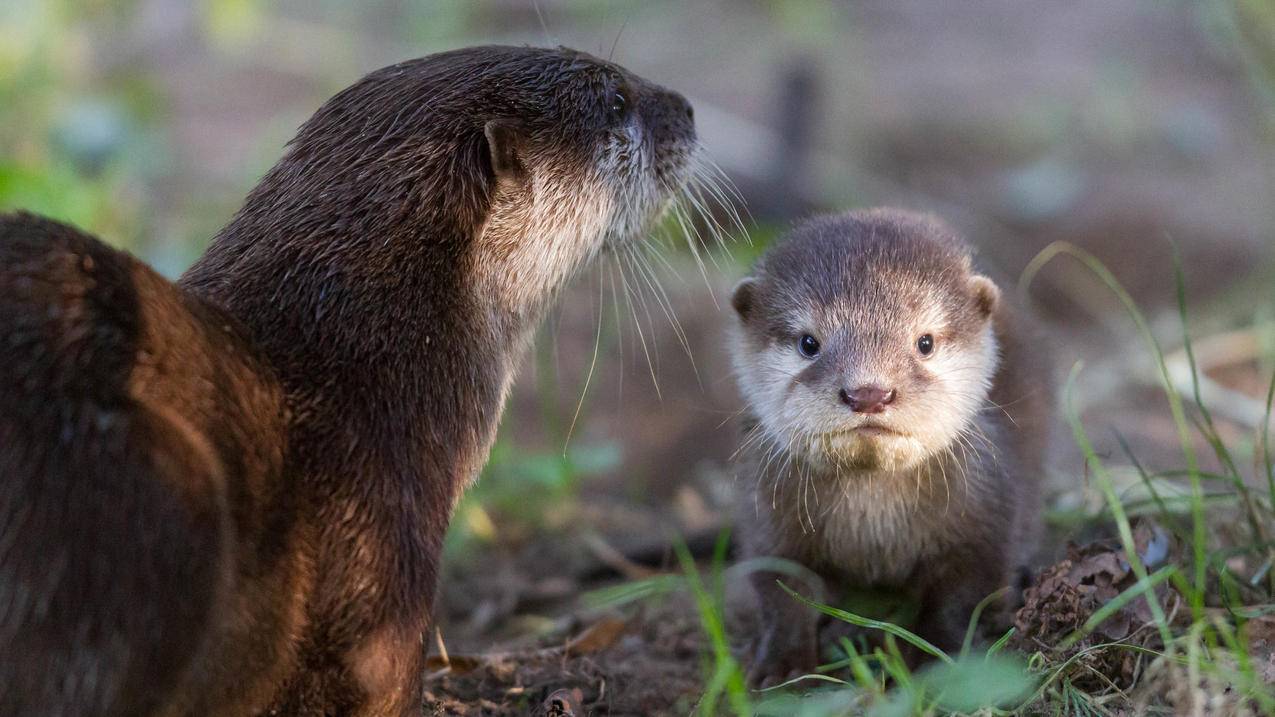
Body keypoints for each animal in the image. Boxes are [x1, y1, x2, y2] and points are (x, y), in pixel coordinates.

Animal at [734, 209, 1050, 683]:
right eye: (809, 343)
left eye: (925, 342)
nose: (869, 392)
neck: (874, 525)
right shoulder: (769, 520)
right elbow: (781, 592)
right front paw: (782, 665)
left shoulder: (986, 519)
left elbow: (960, 598)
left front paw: (936, 659)